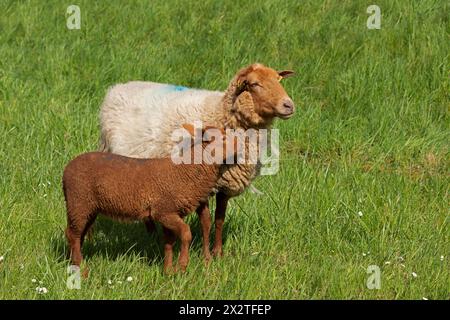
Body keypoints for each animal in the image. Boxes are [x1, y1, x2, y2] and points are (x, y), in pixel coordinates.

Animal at [63, 124, 236, 274]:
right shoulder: (164, 211)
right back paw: (80, 267)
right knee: (73, 234)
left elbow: (169, 242)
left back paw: (74, 261)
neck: (185, 172)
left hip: (88, 208)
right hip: (78, 203)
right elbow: (186, 233)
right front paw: (182, 266)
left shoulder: (169, 214)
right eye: (223, 138)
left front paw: (168, 270)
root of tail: (65, 171)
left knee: (78, 234)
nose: (241, 144)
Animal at [98, 63, 296, 260]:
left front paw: (218, 253)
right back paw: (152, 237)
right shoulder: (198, 184)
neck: (220, 113)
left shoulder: (224, 185)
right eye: (254, 84)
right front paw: (206, 256)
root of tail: (118, 87)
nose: (289, 105)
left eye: (278, 80)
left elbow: (219, 219)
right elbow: (206, 222)